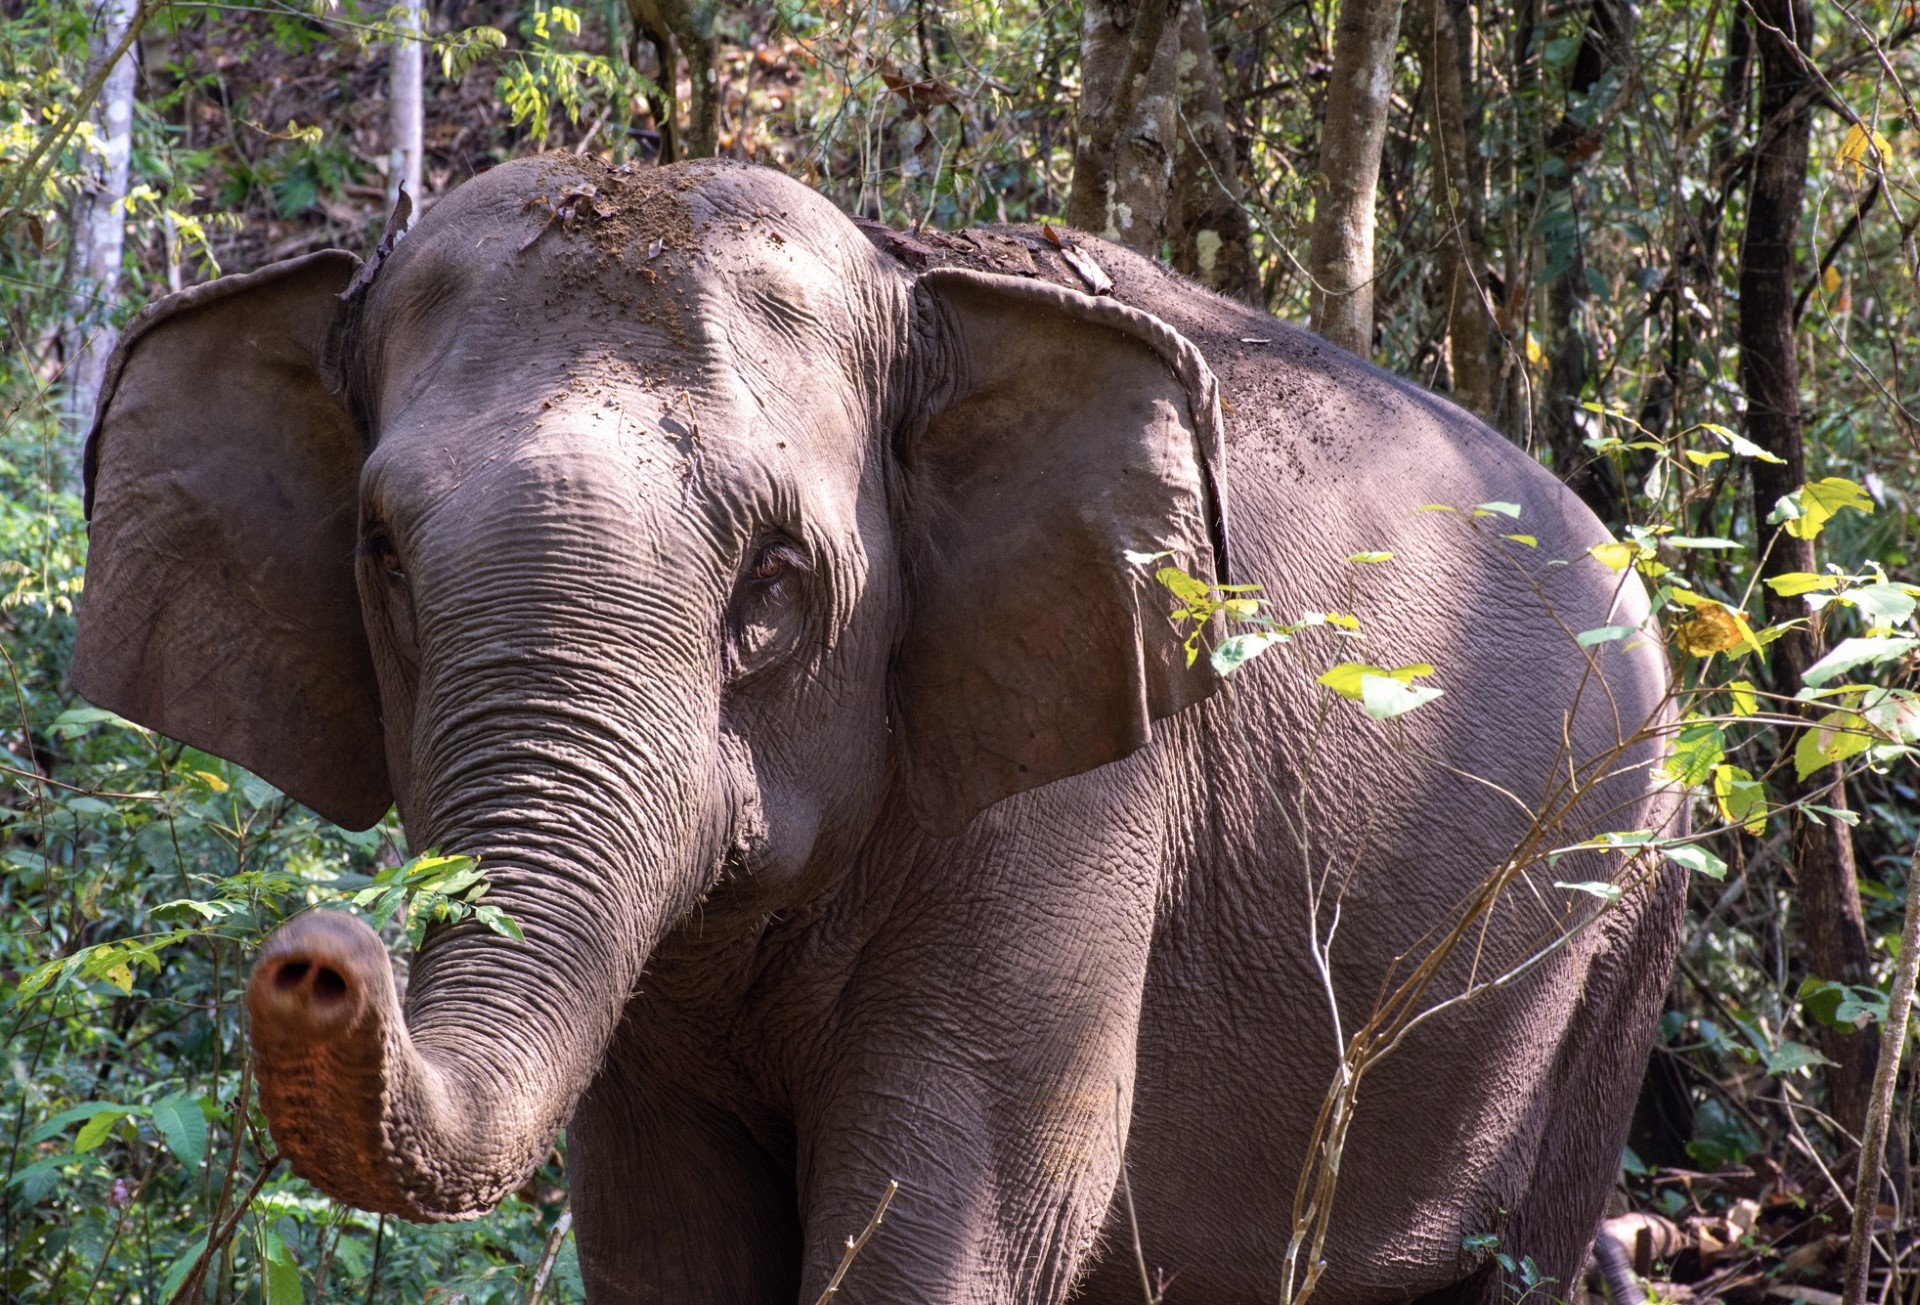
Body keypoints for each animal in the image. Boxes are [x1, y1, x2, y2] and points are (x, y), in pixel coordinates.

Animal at [73, 154, 1684, 1304]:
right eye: (383, 556)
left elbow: (952, 1230)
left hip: (1619, 930)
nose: (317, 954)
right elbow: (663, 1234)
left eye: (777, 586)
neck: (917, 280)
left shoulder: (1079, 800)